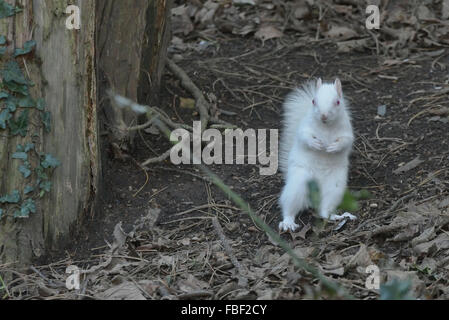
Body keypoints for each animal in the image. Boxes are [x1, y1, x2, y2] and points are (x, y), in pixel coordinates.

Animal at [278, 78, 356, 231]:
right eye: (313, 101)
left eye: (337, 102)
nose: (323, 116)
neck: (326, 127)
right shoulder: (304, 128)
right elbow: (304, 137)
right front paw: (315, 144)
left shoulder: (346, 132)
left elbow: (345, 142)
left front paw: (333, 147)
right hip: (297, 185)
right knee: (289, 207)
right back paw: (288, 222)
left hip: (334, 188)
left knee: (325, 209)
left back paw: (337, 216)